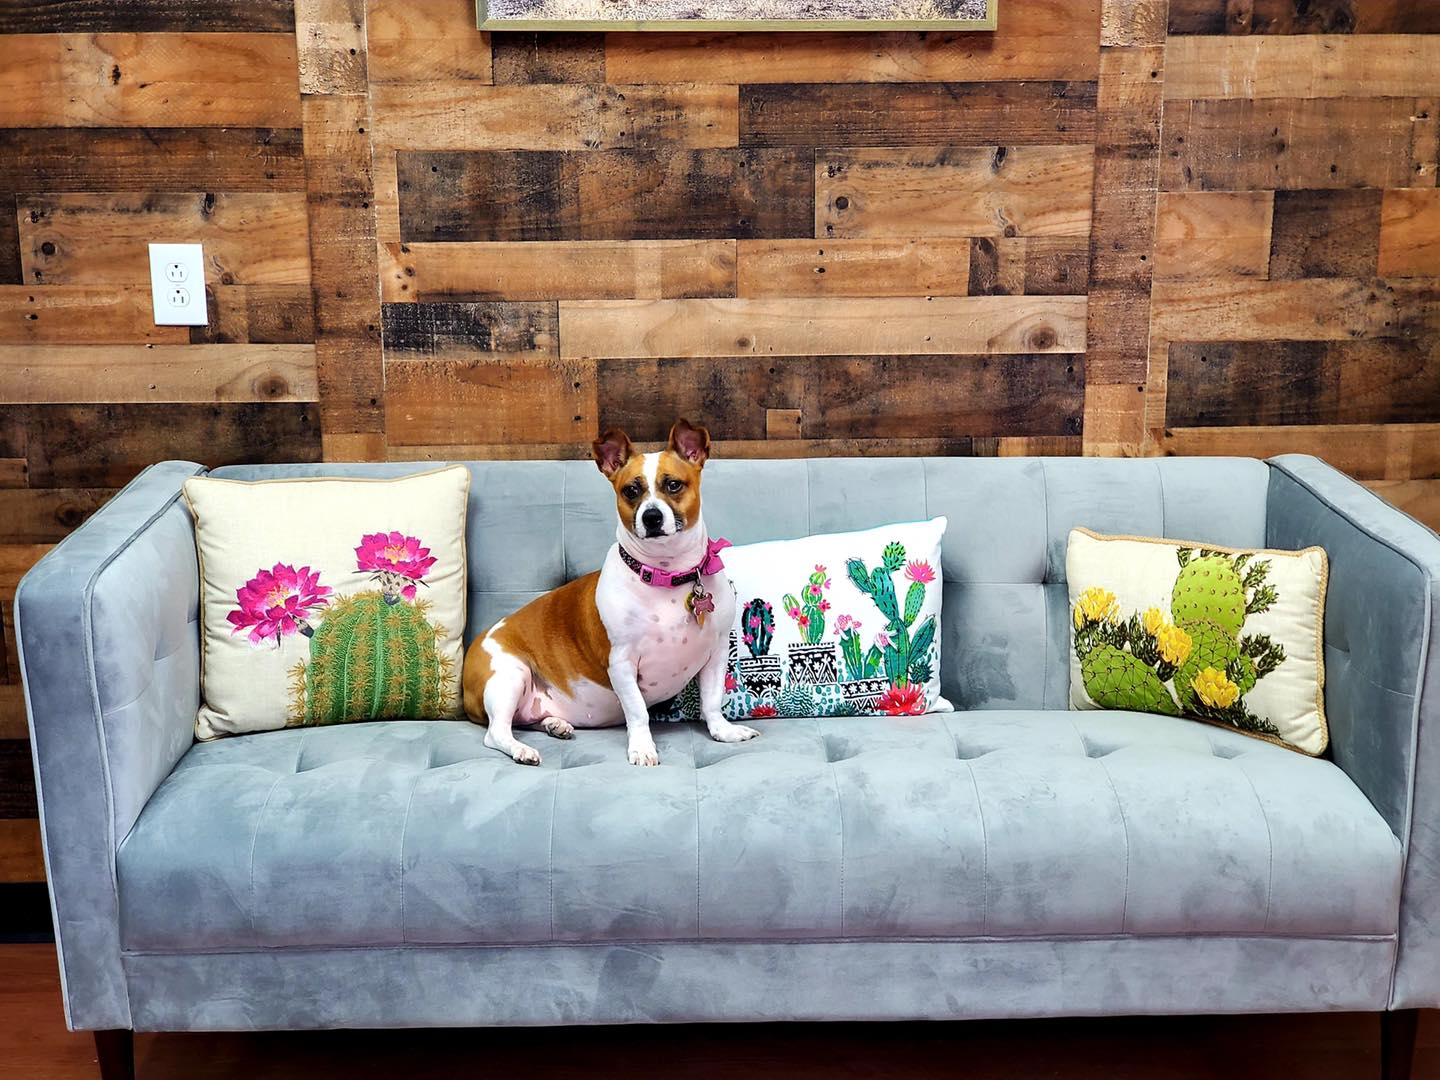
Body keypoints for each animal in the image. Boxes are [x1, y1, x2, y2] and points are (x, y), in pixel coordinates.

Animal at [460, 417, 760, 766]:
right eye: (631, 490)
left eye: (673, 485)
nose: (651, 516)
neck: (667, 574)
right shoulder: (622, 665)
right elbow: (638, 712)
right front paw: (642, 748)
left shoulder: (715, 654)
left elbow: (711, 702)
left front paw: (723, 731)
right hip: (510, 676)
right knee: (496, 733)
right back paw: (522, 750)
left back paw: (555, 724)